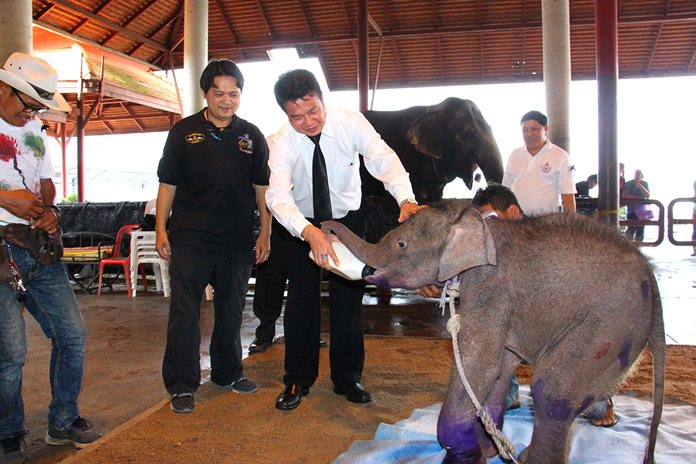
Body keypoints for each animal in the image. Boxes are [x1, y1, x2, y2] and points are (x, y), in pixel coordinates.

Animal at [324, 201, 668, 464]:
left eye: (401, 244)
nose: (325, 228)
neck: (470, 220)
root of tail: (651, 278)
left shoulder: (491, 287)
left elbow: (480, 363)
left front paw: (466, 458)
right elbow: (500, 367)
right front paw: (487, 450)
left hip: (609, 327)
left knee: (551, 392)